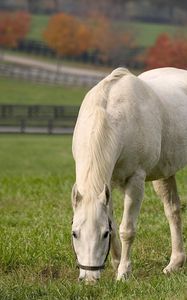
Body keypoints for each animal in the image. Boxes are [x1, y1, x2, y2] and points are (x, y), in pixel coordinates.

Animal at [71, 67, 186, 282]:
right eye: (75, 233)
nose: (89, 278)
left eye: (103, 234)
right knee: (173, 211)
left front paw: (124, 272)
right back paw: (174, 264)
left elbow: (127, 229)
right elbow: (116, 225)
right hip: (165, 172)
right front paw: (116, 264)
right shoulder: (107, 184)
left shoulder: (135, 181)